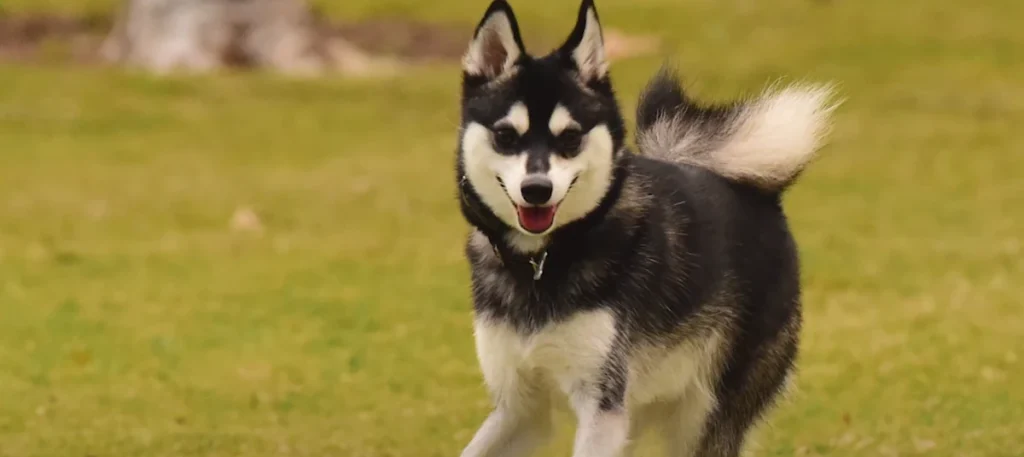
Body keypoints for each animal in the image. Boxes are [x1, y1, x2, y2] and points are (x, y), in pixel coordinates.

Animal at [454, 1, 831, 454]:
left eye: (571, 138)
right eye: (506, 136)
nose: (537, 190)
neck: (541, 263)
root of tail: (754, 190)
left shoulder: (602, 404)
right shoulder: (522, 409)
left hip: (703, 419)